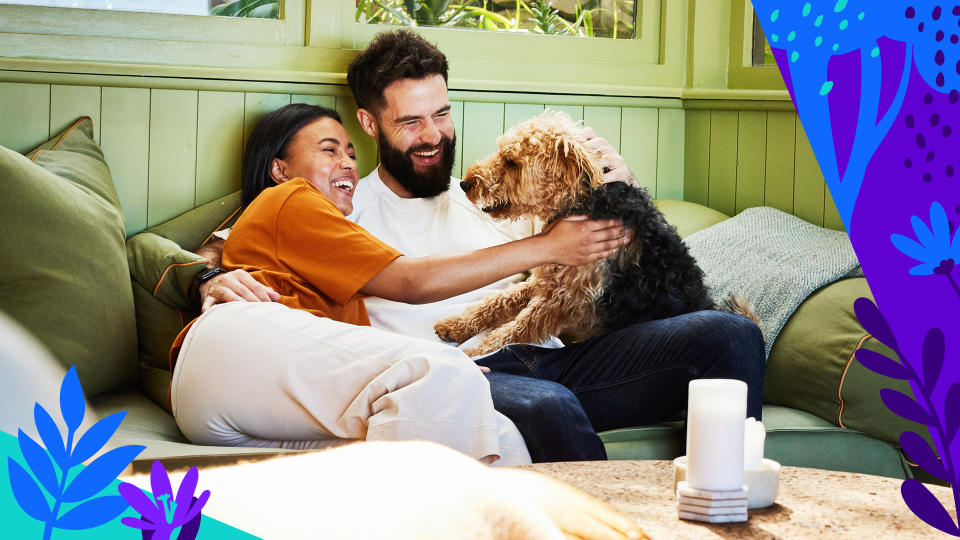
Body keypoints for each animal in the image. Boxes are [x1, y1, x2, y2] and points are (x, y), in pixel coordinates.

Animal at [436, 110, 756, 354]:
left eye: (512, 161)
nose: (465, 183)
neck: (581, 202)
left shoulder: (563, 299)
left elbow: (515, 328)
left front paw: (475, 353)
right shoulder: (547, 278)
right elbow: (498, 301)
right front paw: (455, 326)